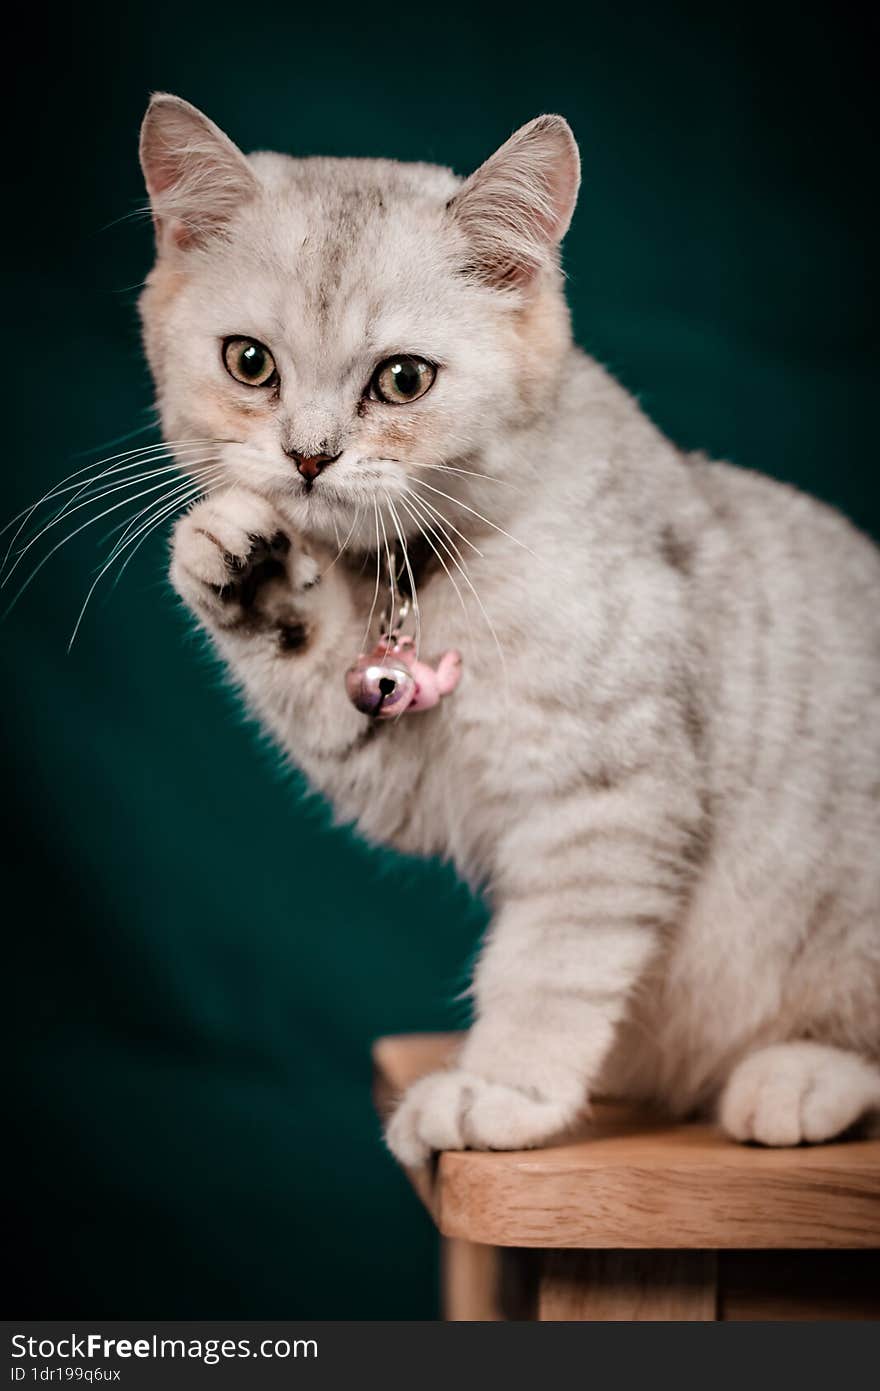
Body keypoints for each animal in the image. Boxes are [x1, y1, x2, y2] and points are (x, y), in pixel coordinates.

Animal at [137, 92, 878, 1162]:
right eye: (249, 362)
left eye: (403, 380)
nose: (309, 457)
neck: (415, 578)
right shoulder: (421, 775)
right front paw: (250, 568)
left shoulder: (607, 798)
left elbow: (548, 965)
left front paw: (501, 1090)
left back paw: (798, 1078)